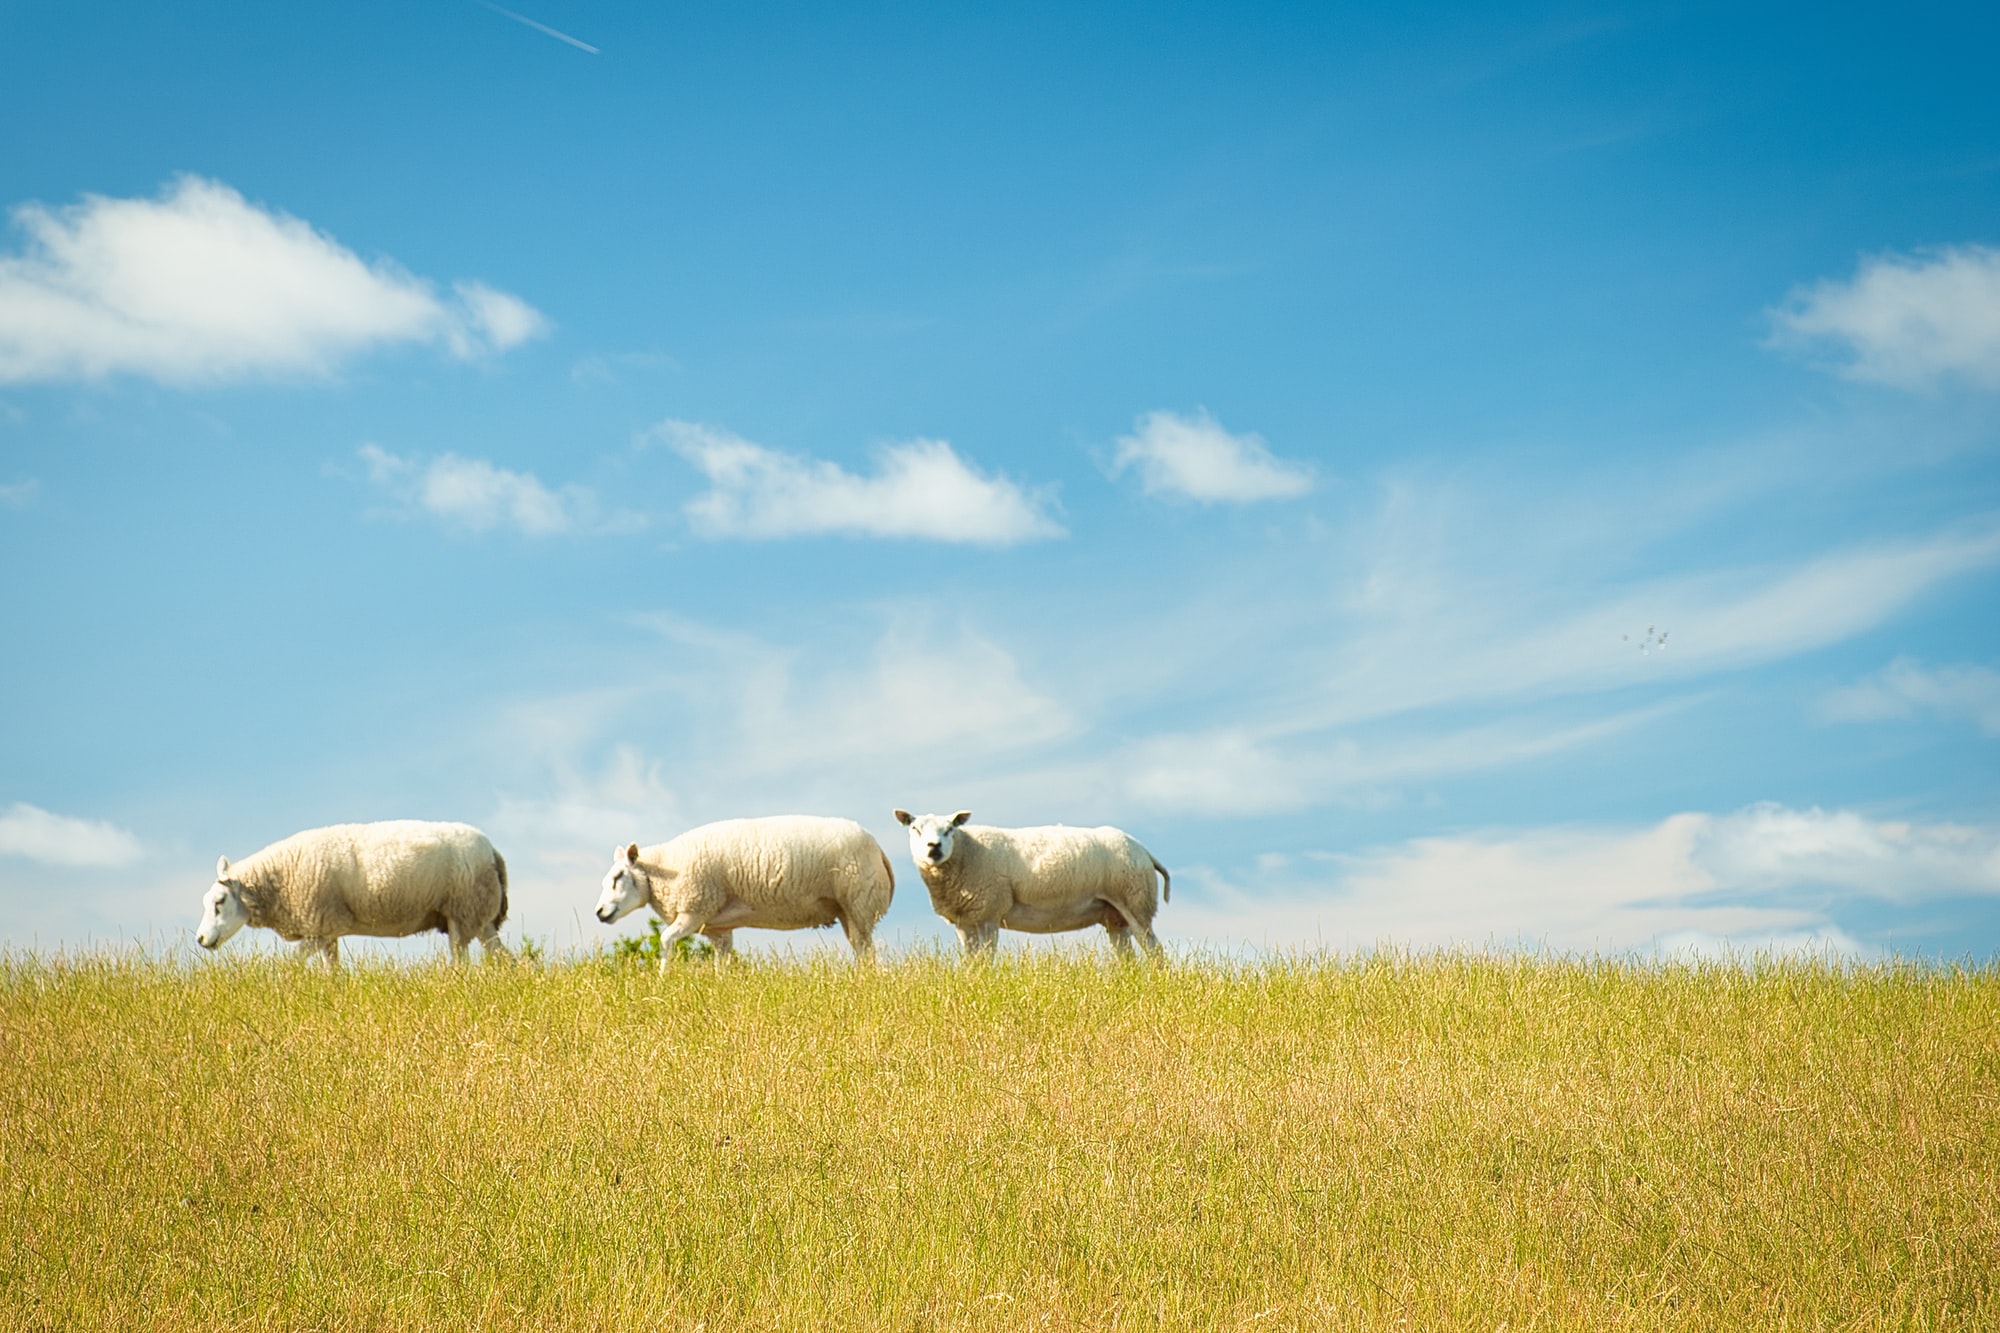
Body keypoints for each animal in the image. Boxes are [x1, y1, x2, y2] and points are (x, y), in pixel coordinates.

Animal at [195, 816, 512, 960]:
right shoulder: (326, 931)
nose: (199, 939)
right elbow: (332, 971)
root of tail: (493, 851)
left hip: (462, 911)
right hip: (478, 916)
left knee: (462, 962)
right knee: (504, 958)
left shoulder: (318, 926)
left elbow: (292, 962)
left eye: (220, 901)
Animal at [592, 808, 900, 964]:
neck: (664, 867)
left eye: (618, 877)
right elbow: (722, 964)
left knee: (867, 951)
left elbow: (666, 940)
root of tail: (878, 847)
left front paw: (662, 978)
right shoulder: (717, 928)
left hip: (860, 903)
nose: (599, 912)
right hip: (847, 911)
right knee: (861, 949)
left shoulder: (695, 909)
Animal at [896, 800, 1168, 956]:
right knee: (1127, 957)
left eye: (950, 829)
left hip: (1135, 901)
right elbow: (971, 962)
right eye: (914, 829)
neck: (966, 851)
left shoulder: (989, 913)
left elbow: (986, 960)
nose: (934, 847)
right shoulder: (966, 921)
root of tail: (1143, 849)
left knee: (1155, 950)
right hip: (1115, 916)